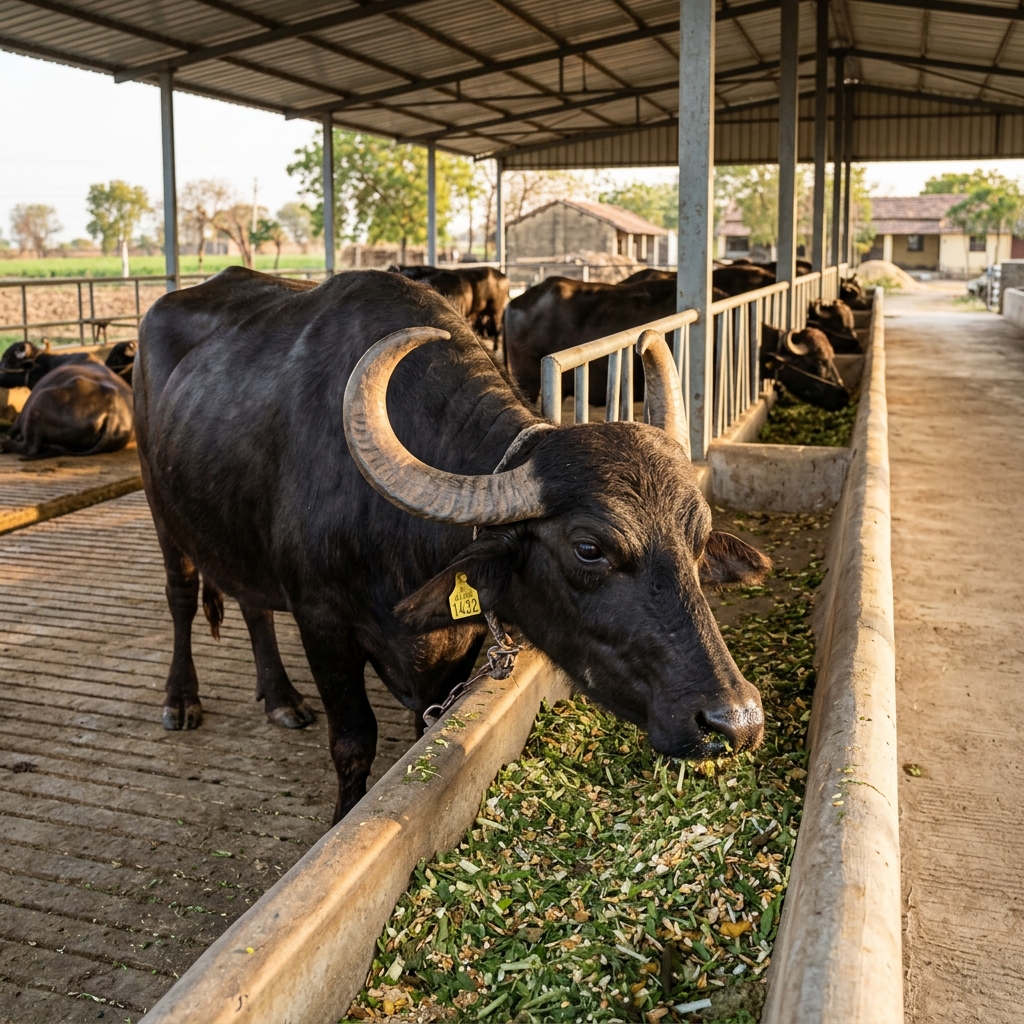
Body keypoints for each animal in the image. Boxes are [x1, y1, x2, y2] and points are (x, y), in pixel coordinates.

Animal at [136, 267, 770, 822]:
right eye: (589, 549)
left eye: (698, 539)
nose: (735, 721)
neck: (399, 543)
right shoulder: (322, 624)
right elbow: (353, 742)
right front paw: (343, 815)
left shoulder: (456, 649)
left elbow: (422, 732)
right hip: (162, 512)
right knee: (182, 596)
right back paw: (181, 700)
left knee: (252, 604)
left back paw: (281, 699)